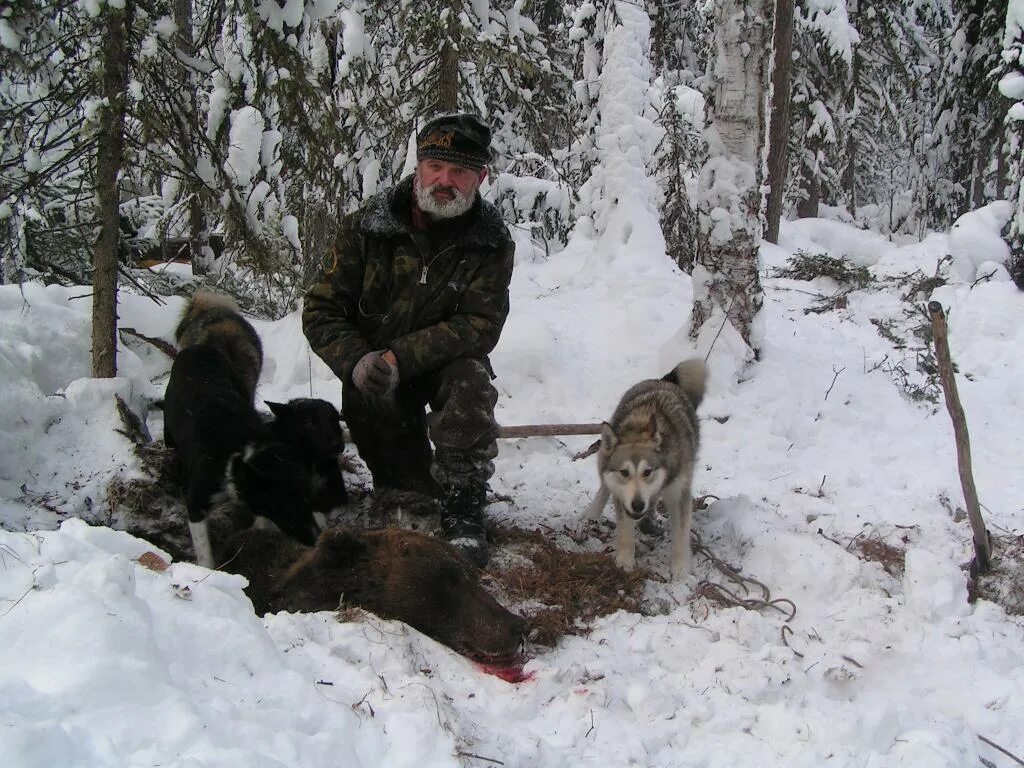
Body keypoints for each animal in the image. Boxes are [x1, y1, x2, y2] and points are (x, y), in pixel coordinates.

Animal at [585, 360, 704, 581]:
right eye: (624, 473)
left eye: (647, 472)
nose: (638, 504)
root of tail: (663, 380)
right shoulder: (622, 498)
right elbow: (625, 533)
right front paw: (625, 562)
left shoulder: (680, 493)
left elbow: (681, 534)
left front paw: (680, 569)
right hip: (602, 457)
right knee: (604, 486)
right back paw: (592, 513)